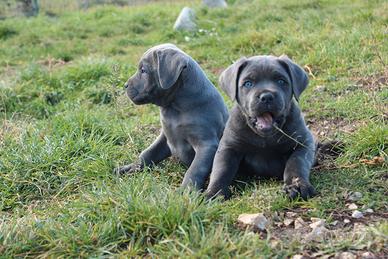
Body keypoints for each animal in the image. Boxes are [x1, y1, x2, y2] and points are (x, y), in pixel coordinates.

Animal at [116, 44, 229, 191]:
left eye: (143, 70)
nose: (125, 85)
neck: (174, 108)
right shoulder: (165, 136)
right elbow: (148, 153)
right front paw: (131, 168)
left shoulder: (207, 144)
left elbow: (195, 169)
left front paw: (187, 191)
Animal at [205, 55, 316, 201]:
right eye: (248, 83)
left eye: (281, 81)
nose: (266, 96)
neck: (265, 138)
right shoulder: (228, 147)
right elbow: (221, 169)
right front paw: (214, 192)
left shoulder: (303, 143)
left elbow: (296, 163)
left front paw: (296, 186)